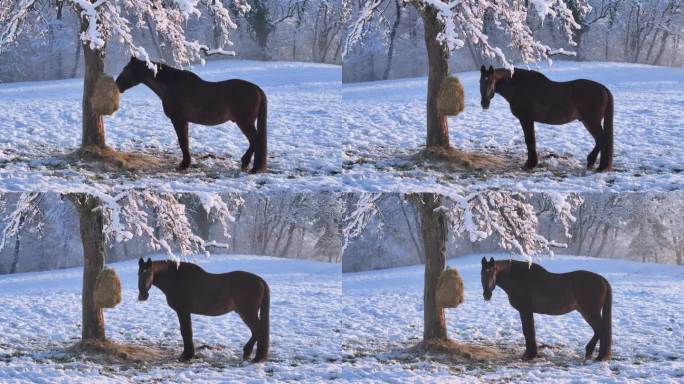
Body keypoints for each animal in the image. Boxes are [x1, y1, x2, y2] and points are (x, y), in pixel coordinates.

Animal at [116, 57, 268, 173]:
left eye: (125, 70)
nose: (117, 85)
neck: (171, 85)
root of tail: (257, 89)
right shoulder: (184, 121)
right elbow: (186, 142)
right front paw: (186, 163)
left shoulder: (178, 120)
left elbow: (183, 142)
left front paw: (184, 165)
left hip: (244, 122)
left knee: (255, 140)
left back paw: (250, 165)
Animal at [137, 258, 270, 364]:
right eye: (138, 274)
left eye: (149, 273)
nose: (142, 296)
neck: (177, 279)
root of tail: (260, 280)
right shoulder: (184, 312)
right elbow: (186, 332)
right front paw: (187, 354)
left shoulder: (183, 311)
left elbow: (186, 332)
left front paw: (187, 356)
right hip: (244, 313)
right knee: (256, 331)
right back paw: (248, 353)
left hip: (248, 312)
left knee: (259, 331)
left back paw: (257, 357)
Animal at [478, 256, 612, 362]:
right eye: (482, 273)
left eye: (493, 272)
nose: (487, 295)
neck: (519, 278)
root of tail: (602, 280)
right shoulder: (526, 311)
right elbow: (528, 331)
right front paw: (529, 354)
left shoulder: (525, 311)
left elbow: (529, 331)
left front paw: (530, 355)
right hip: (586, 312)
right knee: (599, 331)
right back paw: (593, 353)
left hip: (590, 312)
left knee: (601, 330)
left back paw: (598, 355)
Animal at [480, 65, 616, 171]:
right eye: (480, 82)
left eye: (491, 81)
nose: (484, 104)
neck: (519, 87)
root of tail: (603, 88)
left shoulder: (526, 119)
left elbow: (530, 140)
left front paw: (530, 164)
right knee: (600, 140)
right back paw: (592, 162)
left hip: (591, 122)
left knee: (602, 140)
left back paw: (601, 167)